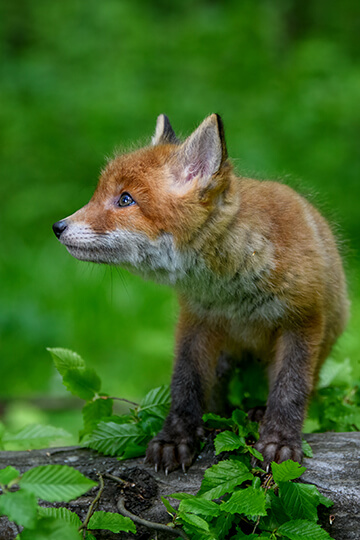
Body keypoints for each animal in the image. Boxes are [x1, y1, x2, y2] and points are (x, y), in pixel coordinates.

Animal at [52, 114, 348, 472]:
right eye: (100, 194)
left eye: (125, 199)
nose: (58, 227)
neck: (233, 293)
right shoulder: (197, 321)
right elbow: (185, 385)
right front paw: (176, 438)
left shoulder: (304, 319)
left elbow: (290, 390)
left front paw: (281, 441)